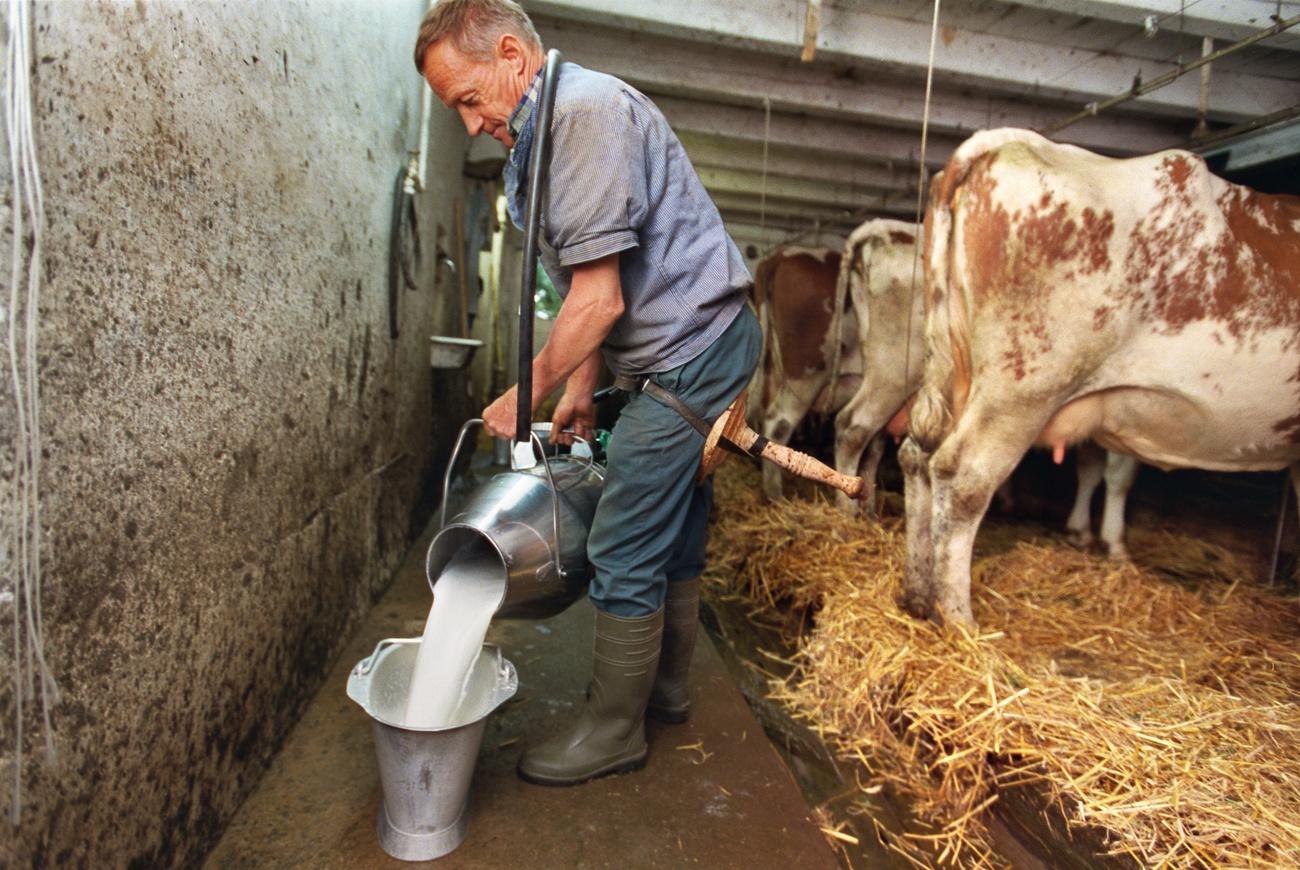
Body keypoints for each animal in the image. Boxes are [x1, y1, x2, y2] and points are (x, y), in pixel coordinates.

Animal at [904, 128, 1300, 626]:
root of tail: (1010, 141)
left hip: (951, 372)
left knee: (917, 454)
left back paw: (917, 598)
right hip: (1023, 388)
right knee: (963, 476)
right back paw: (959, 619)